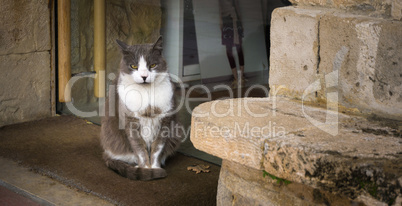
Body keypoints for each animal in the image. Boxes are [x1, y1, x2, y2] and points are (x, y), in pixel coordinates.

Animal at [100, 36, 182, 180]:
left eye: (152, 65)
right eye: (134, 66)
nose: (144, 76)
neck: (146, 93)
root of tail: (106, 152)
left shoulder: (165, 121)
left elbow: (157, 148)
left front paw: (154, 168)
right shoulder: (130, 120)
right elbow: (139, 148)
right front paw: (146, 169)